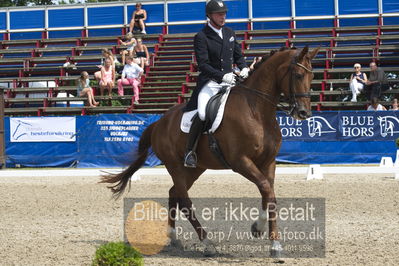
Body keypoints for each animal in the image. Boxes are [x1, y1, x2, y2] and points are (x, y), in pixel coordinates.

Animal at [101, 46, 320, 258]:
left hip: (195, 168)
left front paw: (274, 245)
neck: (257, 111)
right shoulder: (240, 161)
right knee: (184, 200)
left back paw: (173, 237)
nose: (304, 113)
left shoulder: (268, 162)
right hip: (175, 165)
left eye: (312, 77)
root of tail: (158, 123)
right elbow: (266, 189)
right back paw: (207, 243)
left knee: (174, 193)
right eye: (298, 75)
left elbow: (270, 196)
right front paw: (257, 228)